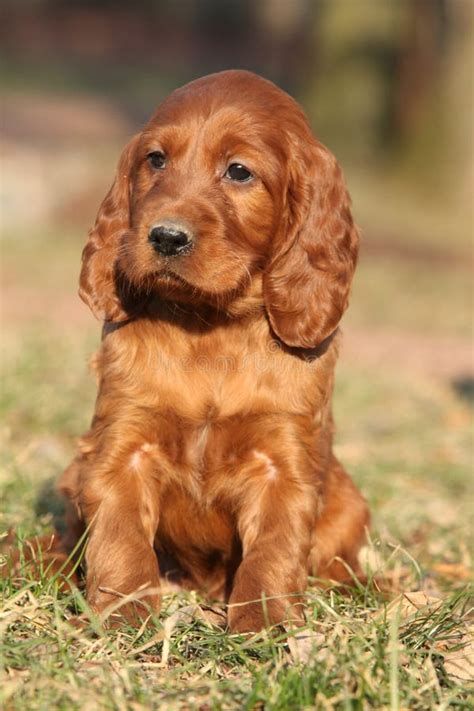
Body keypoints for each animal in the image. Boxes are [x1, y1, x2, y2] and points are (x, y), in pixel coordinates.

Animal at [55, 69, 368, 632]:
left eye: (239, 171)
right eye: (156, 160)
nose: (164, 236)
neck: (211, 326)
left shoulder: (283, 464)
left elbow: (274, 550)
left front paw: (263, 624)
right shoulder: (121, 447)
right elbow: (120, 538)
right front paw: (124, 614)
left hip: (350, 506)